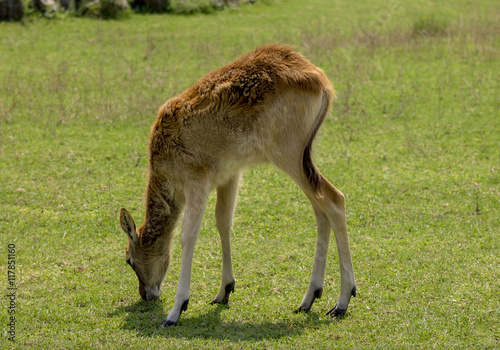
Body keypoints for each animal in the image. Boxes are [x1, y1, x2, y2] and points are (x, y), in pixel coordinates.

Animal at [119, 43, 358, 326]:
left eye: (128, 260)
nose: (146, 294)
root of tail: (322, 82)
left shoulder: (196, 178)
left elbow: (189, 233)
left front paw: (176, 310)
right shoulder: (229, 175)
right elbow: (223, 222)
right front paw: (224, 291)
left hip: (288, 155)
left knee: (335, 199)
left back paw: (342, 301)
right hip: (303, 159)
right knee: (321, 211)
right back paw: (309, 298)